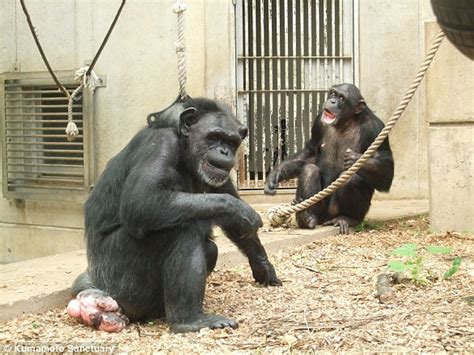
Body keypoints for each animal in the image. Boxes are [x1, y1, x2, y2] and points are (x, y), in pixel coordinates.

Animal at [67, 96, 282, 334]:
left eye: (231, 141)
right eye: (214, 136)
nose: (224, 151)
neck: (185, 150)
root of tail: (95, 285)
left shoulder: (218, 173)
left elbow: (235, 224)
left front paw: (263, 265)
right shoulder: (161, 143)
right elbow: (141, 201)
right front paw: (242, 211)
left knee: (208, 247)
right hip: (118, 278)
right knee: (181, 230)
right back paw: (189, 320)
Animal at [264, 83, 394, 234]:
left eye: (342, 98)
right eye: (333, 93)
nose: (332, 101)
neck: (346, 121)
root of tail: (325, 219)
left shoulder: (376, 129)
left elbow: (386, 165)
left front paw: (355, 158)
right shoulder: (318, 122)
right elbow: (311, 150)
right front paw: (275, 175)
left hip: (334, 212)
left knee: (350, 179)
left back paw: (347, 218)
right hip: (319, 211)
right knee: (310, 170)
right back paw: (306, 217)